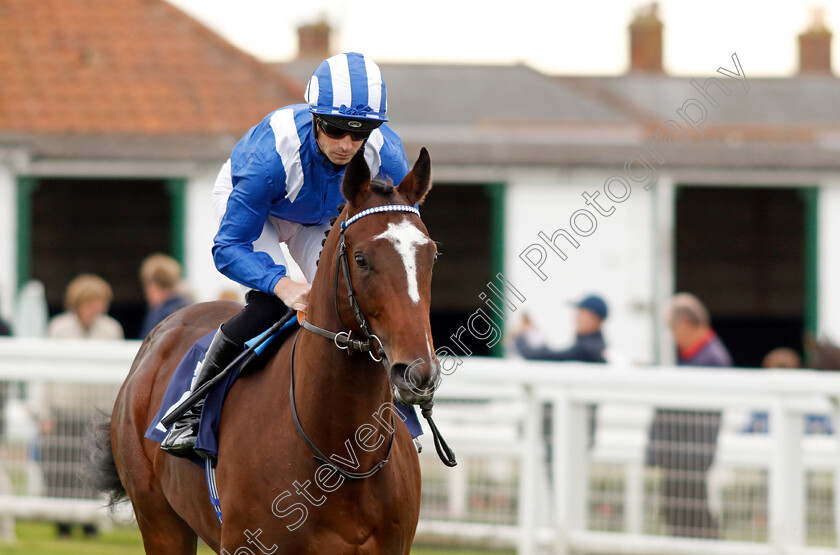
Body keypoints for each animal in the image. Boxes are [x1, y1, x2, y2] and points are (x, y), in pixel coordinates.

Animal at [87, 149, 440, 555]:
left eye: (431, 256)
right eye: (362, 259)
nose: (417, 372)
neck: (344, 454)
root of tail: (159, 334)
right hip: (159, 520)